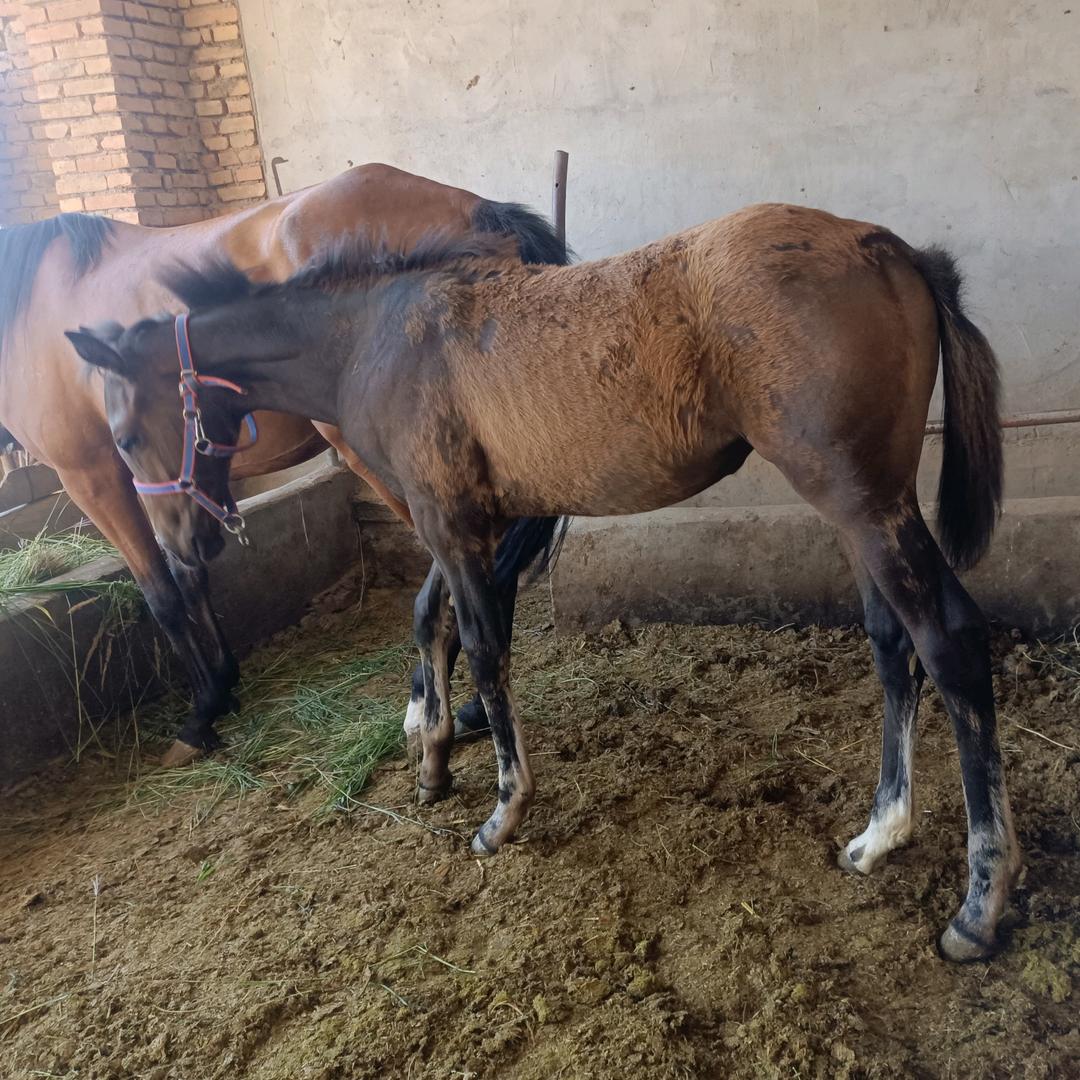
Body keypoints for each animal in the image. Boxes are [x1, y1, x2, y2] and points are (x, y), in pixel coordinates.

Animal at [0, 163, 568, 765]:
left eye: (126, 438)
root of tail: (478, 207)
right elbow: (191, 577)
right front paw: (222, 686)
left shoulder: (92, 476)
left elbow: (163, 596)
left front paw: (200, 715)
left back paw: (438, 702)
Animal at [65, 203, 1019, 962]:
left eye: (125, 431)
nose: (187, 546)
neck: (372, 338)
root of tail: (891, 248)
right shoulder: (457, 521)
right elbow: (432, 619)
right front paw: (431, 755)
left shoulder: (447, 520)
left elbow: (484, 645)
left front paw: (501, 809)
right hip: (866, 504)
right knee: (894, 647)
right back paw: (879, 835)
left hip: (858, 500)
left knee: (949, 642)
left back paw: (977, 908)